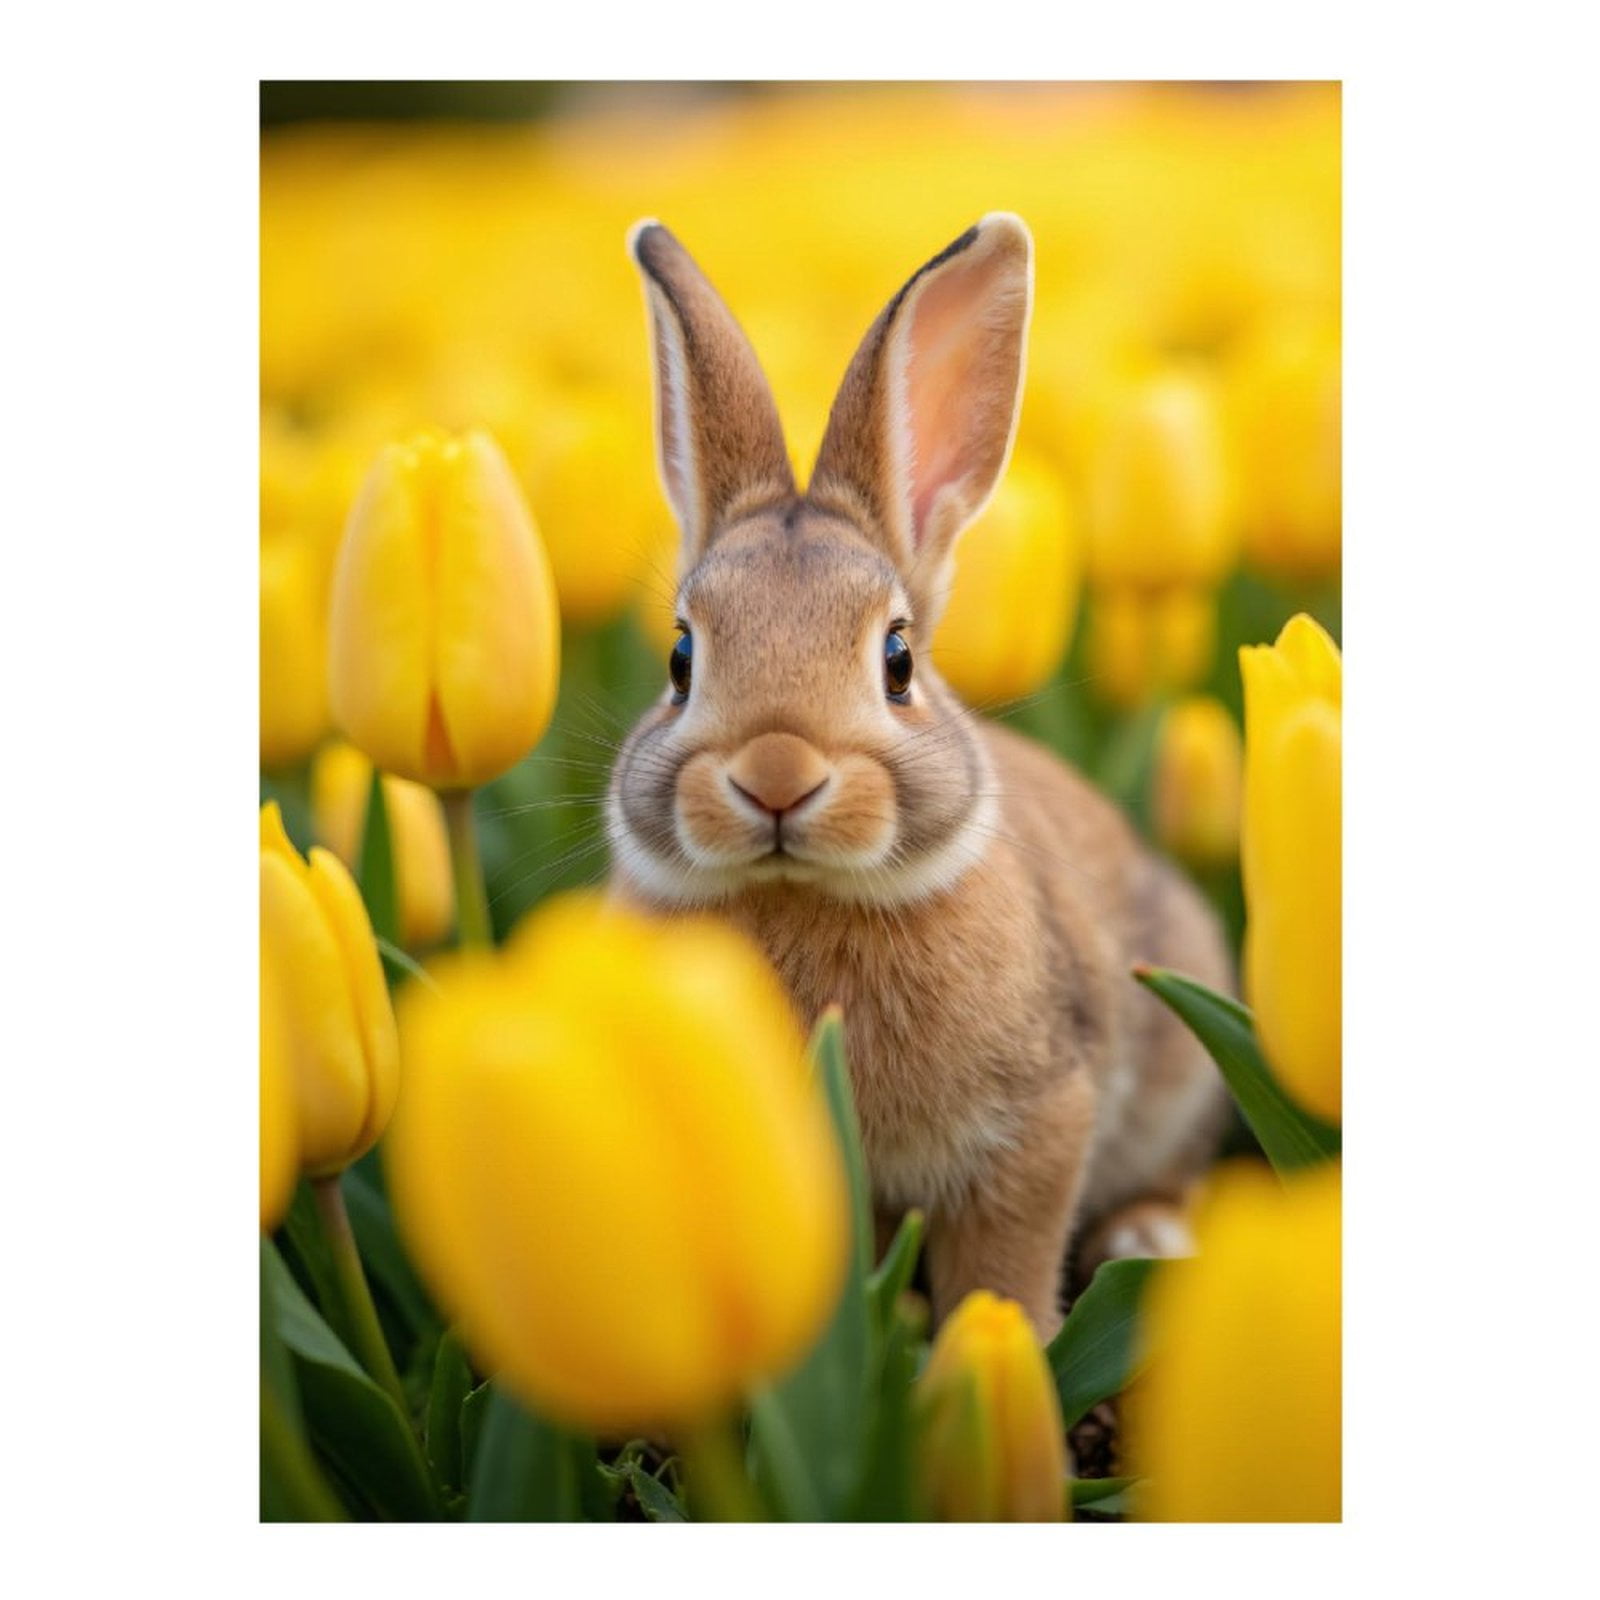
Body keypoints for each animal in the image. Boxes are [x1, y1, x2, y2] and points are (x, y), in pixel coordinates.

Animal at [607, 213, 1231, 1339]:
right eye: (681, 658)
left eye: (896, 659)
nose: (776, 773)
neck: (802, 893)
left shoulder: (1037, 1122)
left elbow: (1005, 1263)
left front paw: (1004, 1349)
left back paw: (1150, 1237)